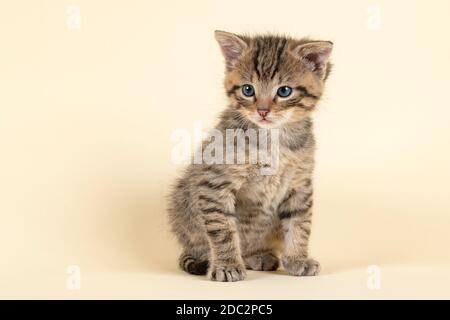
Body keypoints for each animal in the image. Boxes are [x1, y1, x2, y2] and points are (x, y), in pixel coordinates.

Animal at [167, 29, 332, 280]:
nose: (262, 111)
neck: (272, 137)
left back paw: (257, 256)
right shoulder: (214, 183)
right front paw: (226, 265)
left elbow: (299, 223)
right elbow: (223, 229)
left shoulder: (299, 184)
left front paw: (297, 259)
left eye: (284, 91)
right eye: (248, 90)